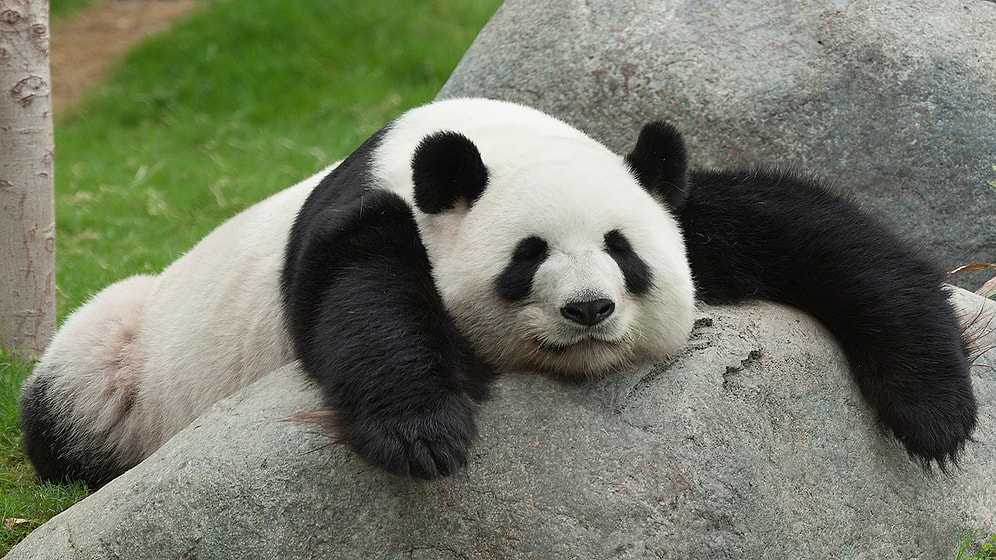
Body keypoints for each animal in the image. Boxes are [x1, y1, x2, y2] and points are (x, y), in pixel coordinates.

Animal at [19, 98, 976, 489]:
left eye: (623, 253)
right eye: (528, 257)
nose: (588, 309)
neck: (492, 139)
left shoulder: (663, 192)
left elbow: (820, 236)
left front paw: (936, 413)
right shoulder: (371, 213)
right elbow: (360, 300)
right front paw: (425, 432)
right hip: (124, 356)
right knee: (72, 396)